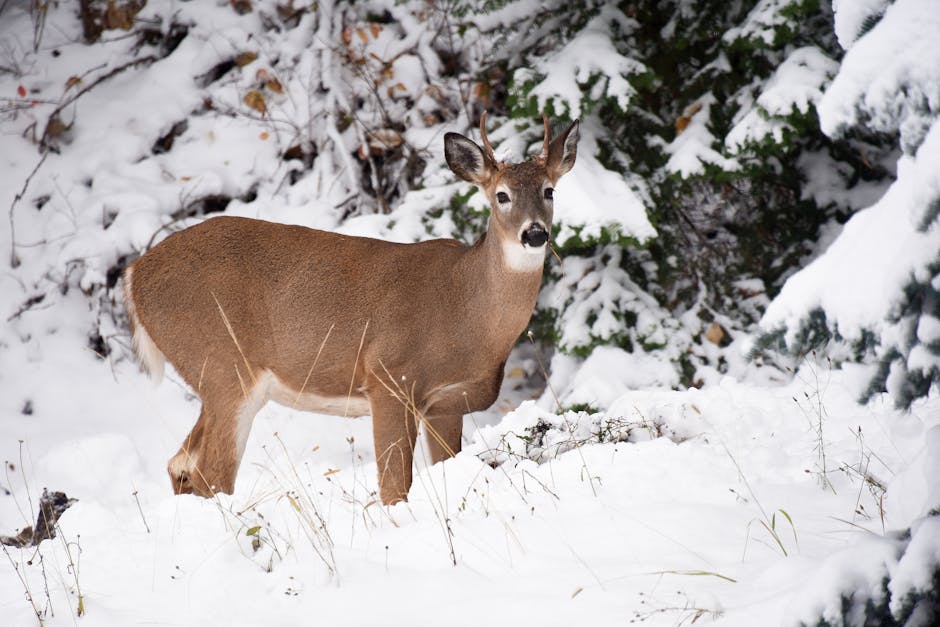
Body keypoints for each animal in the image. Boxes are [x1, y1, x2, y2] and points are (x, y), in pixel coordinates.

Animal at [123, 113, 579, 505]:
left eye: (549, 190)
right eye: (501, 195)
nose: (535, 234)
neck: (467, 314)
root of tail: (134, 274)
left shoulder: (446, 404)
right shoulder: (388, 377)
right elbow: (394, 488)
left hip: (215, 379)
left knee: (180, 464)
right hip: (223, 364)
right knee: (212, 475)